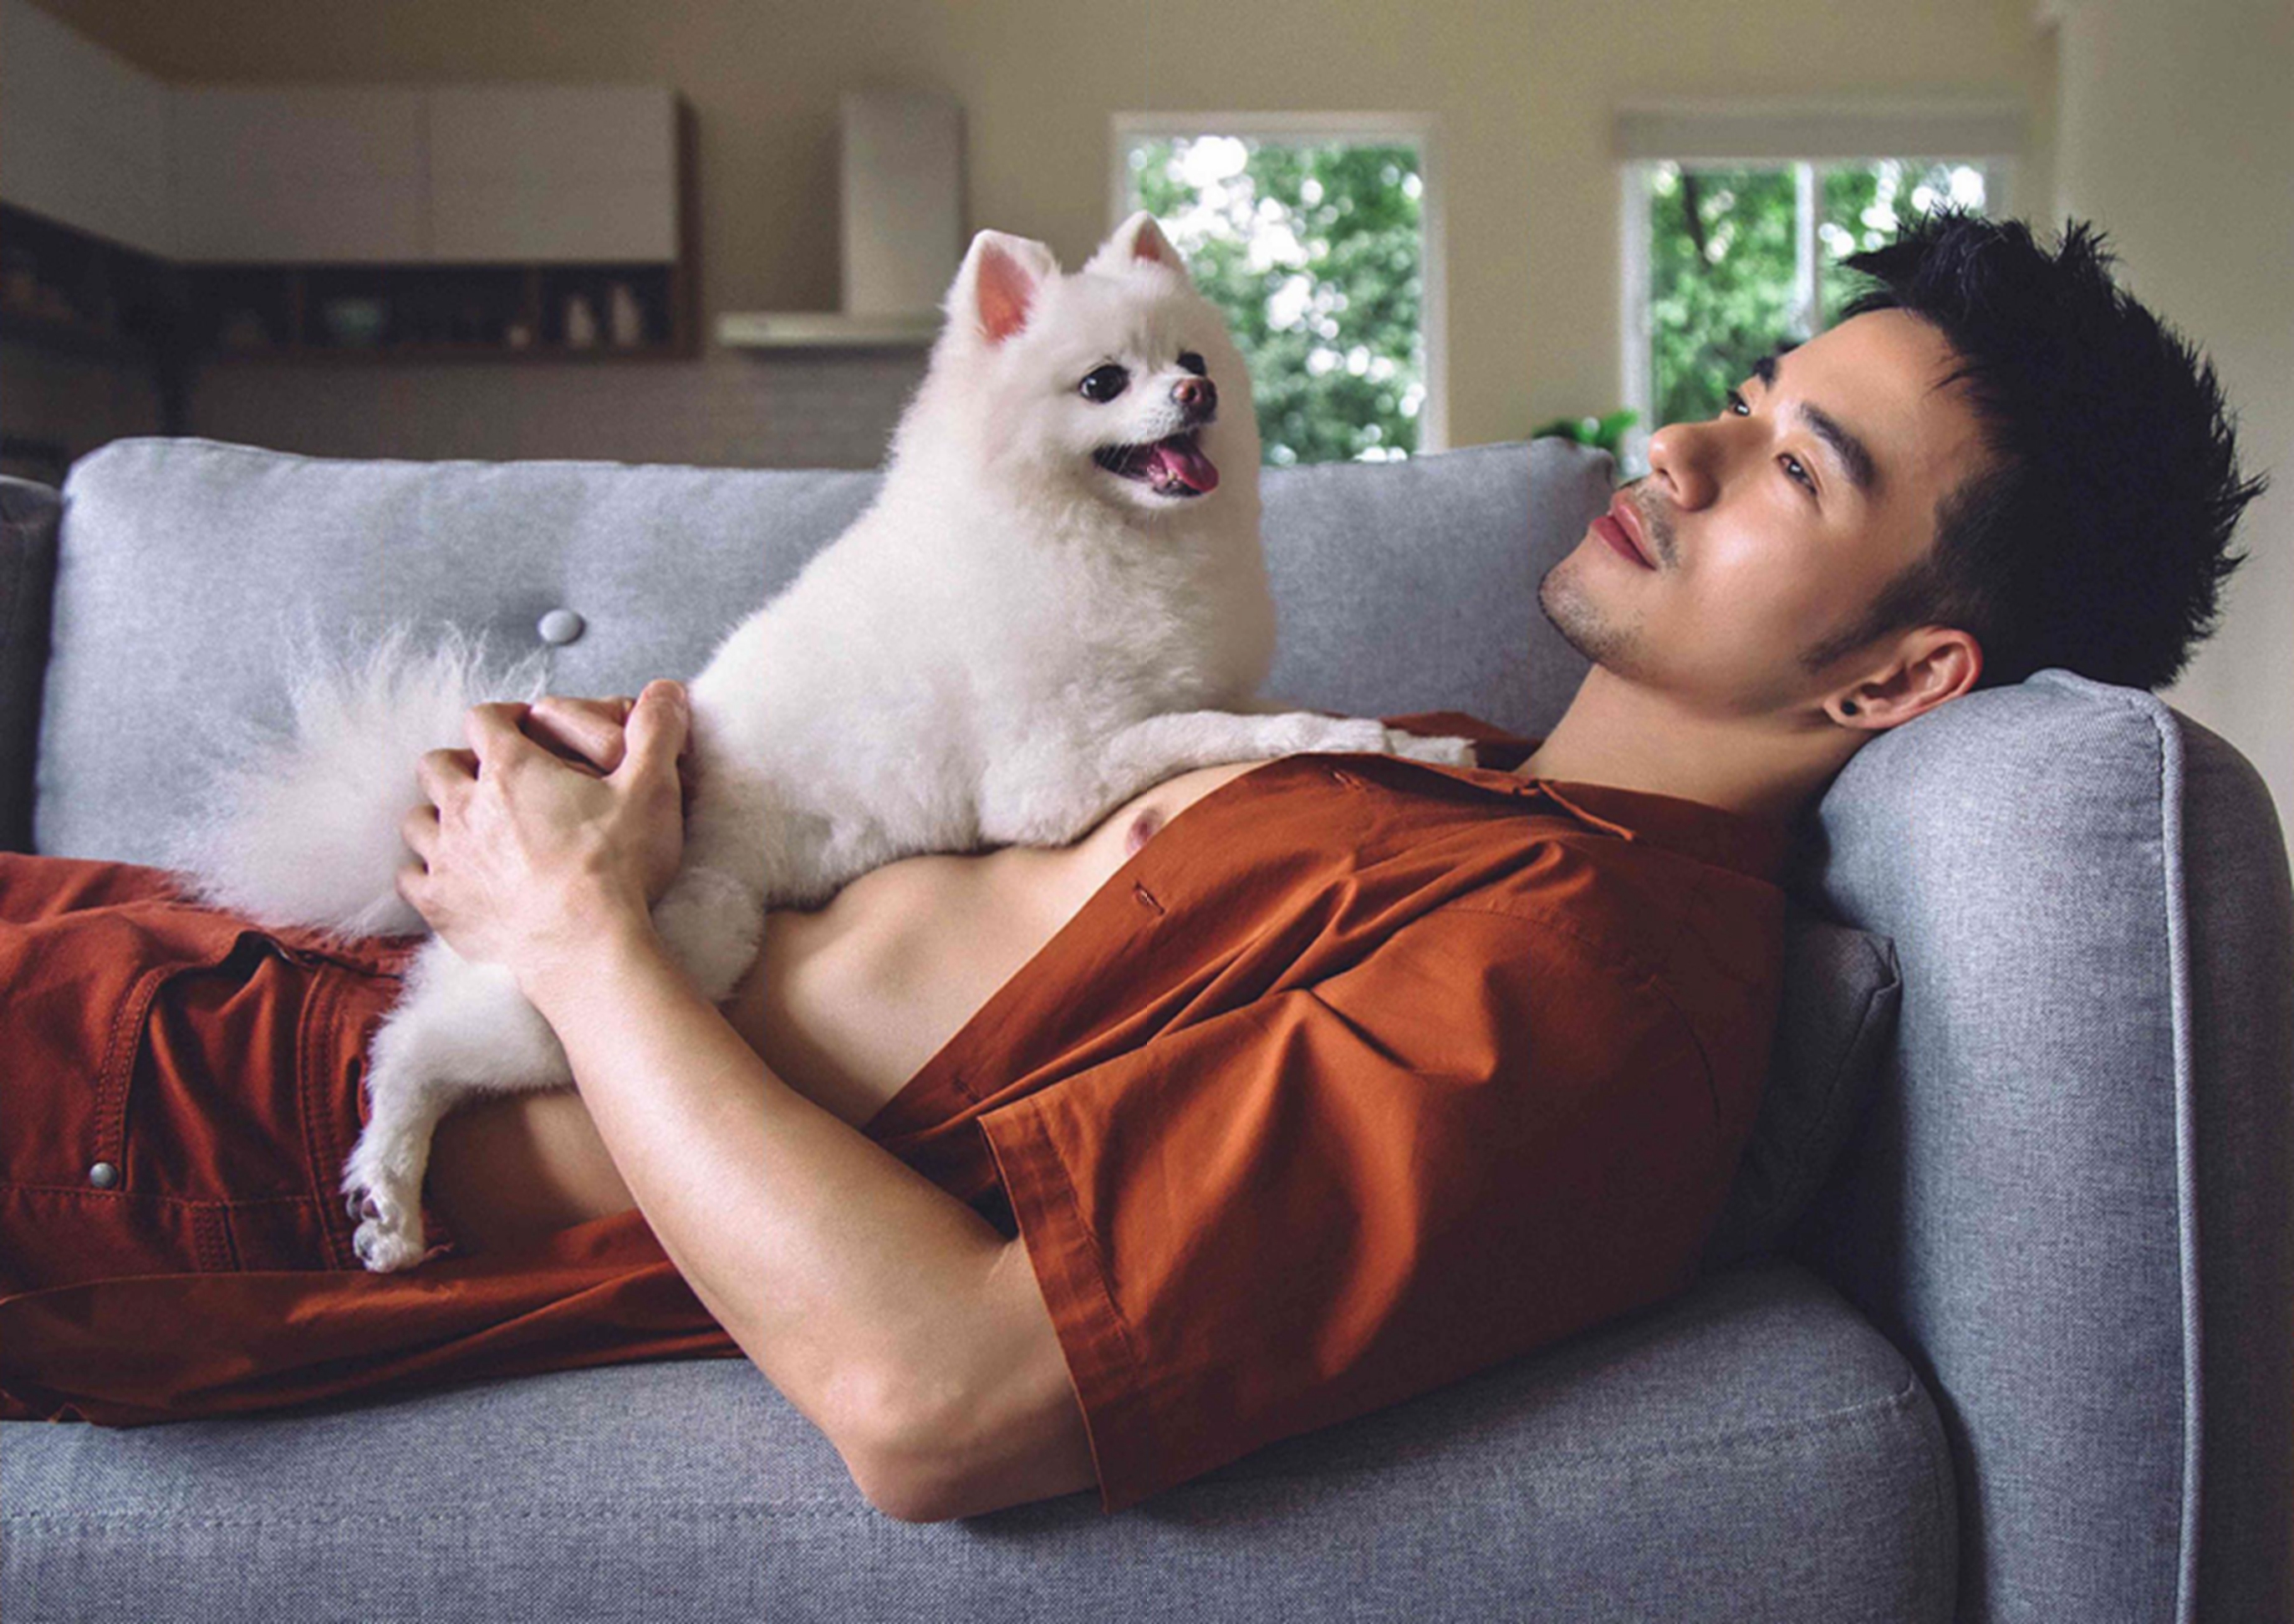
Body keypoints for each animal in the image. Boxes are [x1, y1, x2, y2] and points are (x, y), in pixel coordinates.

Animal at [164, 211, 1471, 1270]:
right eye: (1104, 383)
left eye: (1193, 362)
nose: (1195, 398)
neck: (1108, 537)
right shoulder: (1054, 772)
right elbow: (1237, 732)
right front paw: (1371, 739)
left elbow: (1278, 714)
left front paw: (1419, 747)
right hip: (653, 954)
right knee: (412, 1044)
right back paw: (387, 1190)